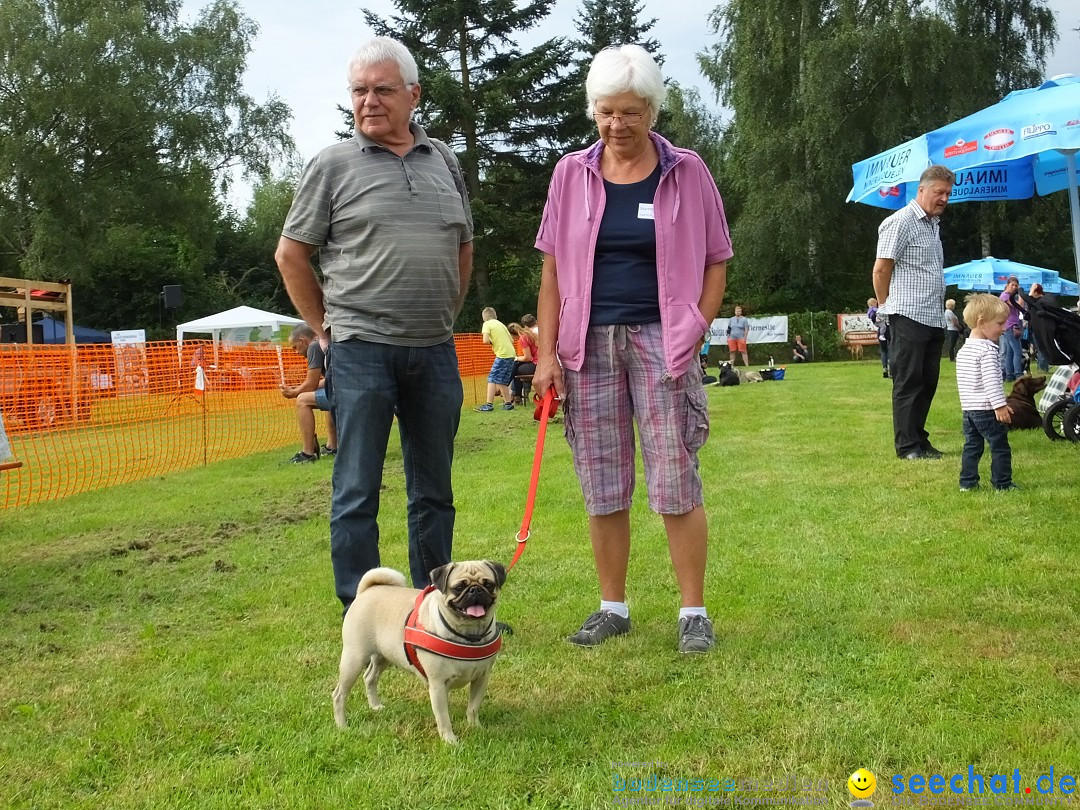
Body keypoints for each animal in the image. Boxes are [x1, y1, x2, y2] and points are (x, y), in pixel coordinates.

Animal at [332, 561, 505, 747]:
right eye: (458, 588)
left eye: (488, 584)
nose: (475, 590)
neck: (469, 634)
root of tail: (367, 591)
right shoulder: (438, 685)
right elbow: (443, 718)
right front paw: (450, 741)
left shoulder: (481, 678)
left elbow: (473, 707)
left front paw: (475, 727)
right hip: (354, 659)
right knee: (339, 695)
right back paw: (342, 726)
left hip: (384, 656)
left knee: (370, 677)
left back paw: (375, 706)